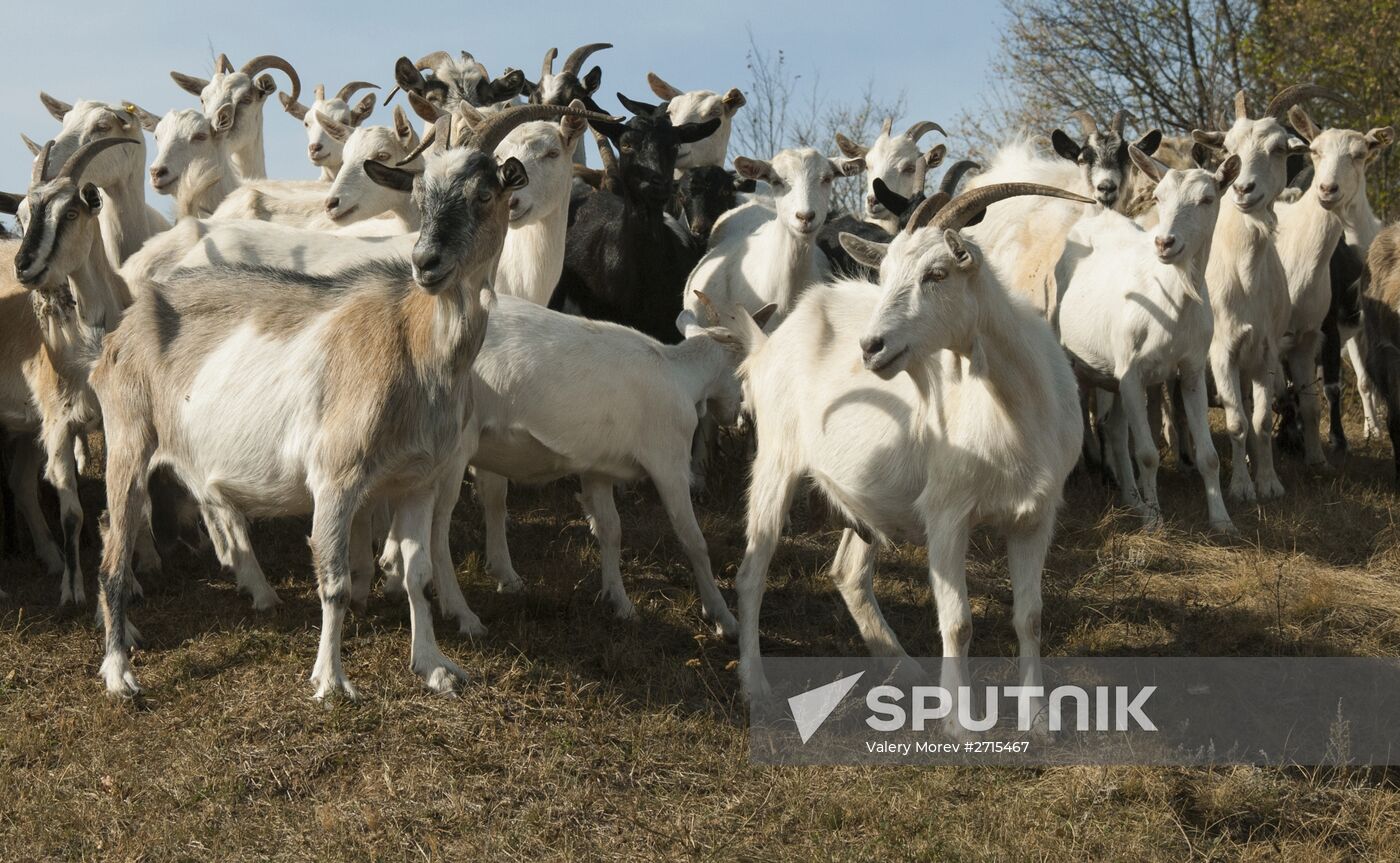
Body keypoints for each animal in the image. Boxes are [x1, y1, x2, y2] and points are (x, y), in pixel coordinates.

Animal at [87, 100, 602, 697]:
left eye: (485, 193)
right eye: (420, 193)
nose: (426, 263)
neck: (414, 344)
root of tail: (123, 327)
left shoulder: (417, 479)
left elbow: (418, 572)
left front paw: (434, 665)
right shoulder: (335, 478)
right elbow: (332, 581)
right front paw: (331, 681)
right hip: (128, 439)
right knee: (113, 549)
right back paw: (119, 671)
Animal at [722, 182, 1092, 734]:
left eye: (937, 274)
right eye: (885, 273)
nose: (871, 347)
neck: (1016, 406)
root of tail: (767, 344)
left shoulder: (1036, 515)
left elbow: (1030, 617)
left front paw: (1039, 720)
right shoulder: (946, 513)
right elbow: (958, 623)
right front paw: (961, 724)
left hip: (865, 498)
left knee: (849, 574)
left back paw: (905, 668)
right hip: (776, 460)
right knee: (752, 575)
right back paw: (756, 688)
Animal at [1052, 148, 1243, 532]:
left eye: (1207, 198)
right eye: (1158, 197)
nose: (1165, 243)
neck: (1169, 301)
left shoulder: (1191, 369)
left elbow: (1209, 456)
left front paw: (1222, 520)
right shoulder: (1132, 371)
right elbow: (1146, 453)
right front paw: (1155, 522)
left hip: (1113, 374)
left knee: (1113, 428)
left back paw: (1132, 499)